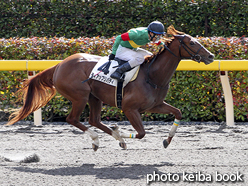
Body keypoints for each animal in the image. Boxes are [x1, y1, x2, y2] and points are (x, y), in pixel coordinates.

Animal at [7, 27, 213, 151]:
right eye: (192, 42)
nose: (210, 56)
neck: (152, 76)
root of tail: (59, 65)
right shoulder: (129, 109)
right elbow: (141, 133)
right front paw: (120, 133)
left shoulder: (155, 105)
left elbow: (178, 113)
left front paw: (167, 140)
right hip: (80, 97)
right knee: (72, 119)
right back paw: (100, 139)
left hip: (94, 97)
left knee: (94, 120)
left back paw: (110, 138)